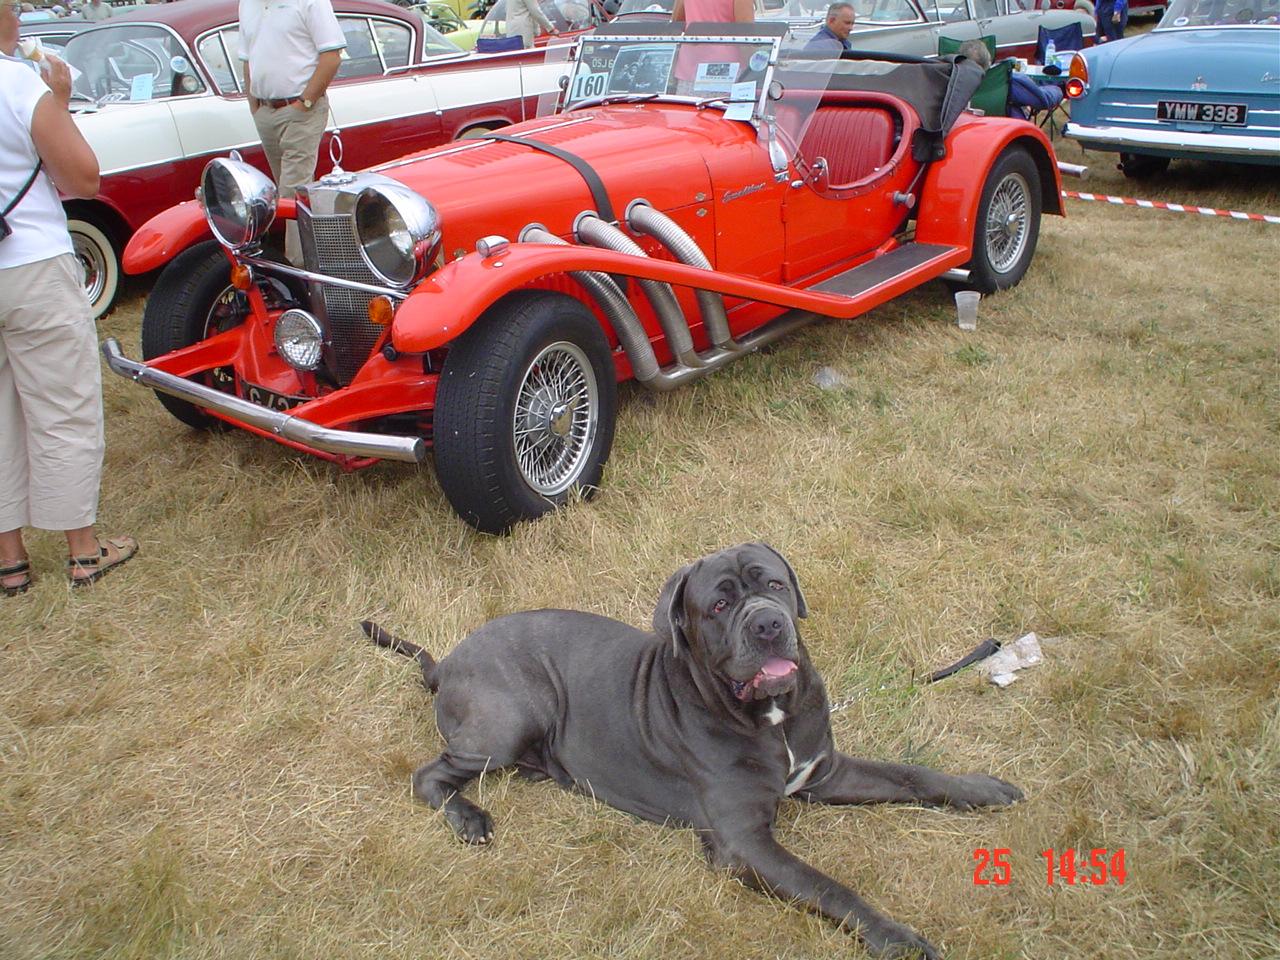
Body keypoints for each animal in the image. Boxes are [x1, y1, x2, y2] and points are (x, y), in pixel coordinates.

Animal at [364, 543, 1022, 958]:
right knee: (430, 775)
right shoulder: (743, 841)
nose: (767, 624)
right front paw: (896, 938)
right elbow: (829, 887)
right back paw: (469, 819)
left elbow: (910, 773)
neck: (770, 717)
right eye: (720, 605)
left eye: (774, 584)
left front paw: (980, 788)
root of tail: (448, 659)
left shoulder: (824, 772)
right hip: (507, 720)